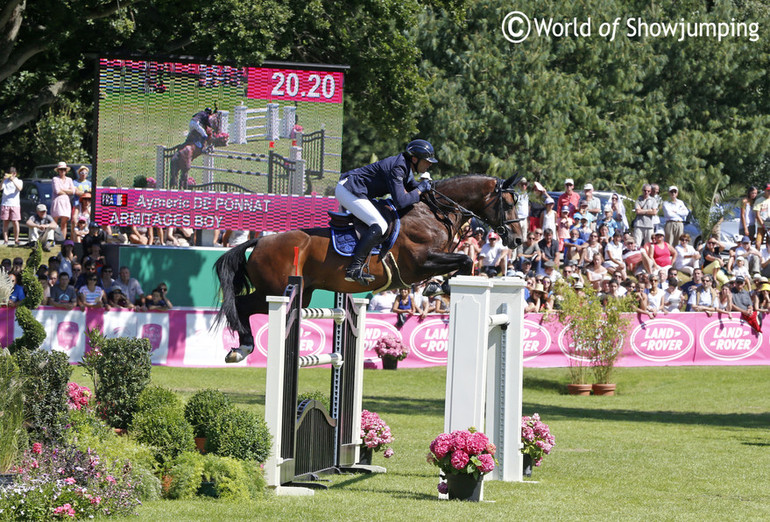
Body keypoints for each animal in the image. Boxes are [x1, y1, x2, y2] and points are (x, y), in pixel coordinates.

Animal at [218, 173, 520, 360]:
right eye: (507, 203)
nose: (516, 239)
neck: (433, 213)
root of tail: (259, 241)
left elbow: (460, 263)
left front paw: (436, 287)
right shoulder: (421, 262)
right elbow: (465, 261)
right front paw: (439, 288)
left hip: (300, 294)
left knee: (244, 306)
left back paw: (241, 349)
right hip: (279, 291)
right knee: (243, 305)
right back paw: (242, 349)